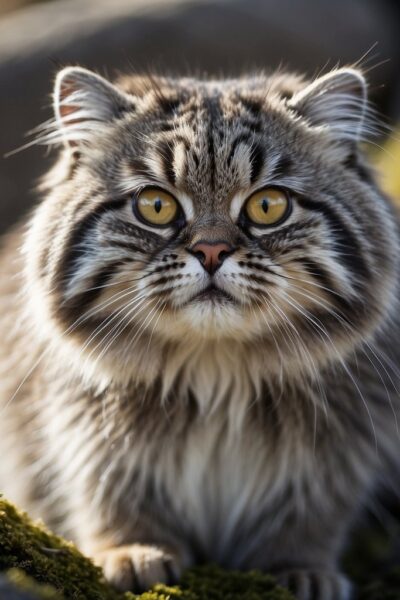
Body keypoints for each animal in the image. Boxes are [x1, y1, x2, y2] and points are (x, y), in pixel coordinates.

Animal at [0, 65, 400, 600]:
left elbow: (305, 523)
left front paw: (300, 570)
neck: (216, 370)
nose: (211, 252)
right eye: (156, 206)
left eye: (269, 205)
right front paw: (134, 552)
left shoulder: (336, 455)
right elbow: (112, 498)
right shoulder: (87, 439)